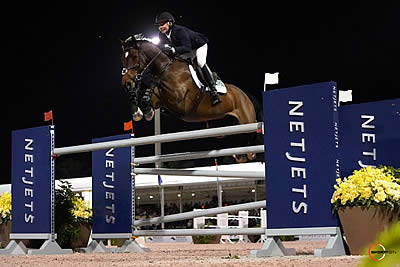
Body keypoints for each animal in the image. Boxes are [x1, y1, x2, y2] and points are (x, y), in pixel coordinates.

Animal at [120, 35, 258, 161]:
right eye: (123, 59)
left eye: (134, 56)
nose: (126, 84)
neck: (166, 68)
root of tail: (245, 95)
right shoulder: (161, 100)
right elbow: (148, 97)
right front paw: (140, 111)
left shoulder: (179, 99)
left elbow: (155, 84)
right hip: (219, 126)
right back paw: (240, 154)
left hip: (247, 121)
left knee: (252, 133)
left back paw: (249, 152)